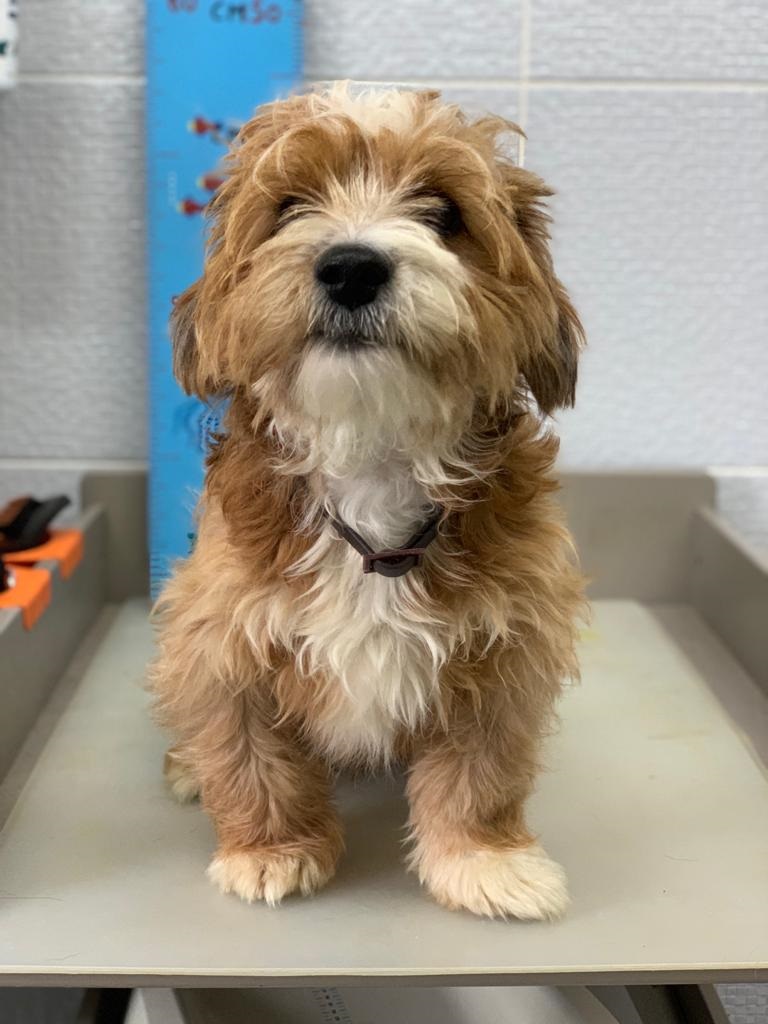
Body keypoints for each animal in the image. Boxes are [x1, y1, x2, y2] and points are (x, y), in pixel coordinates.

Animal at [149, 83, 586, 920]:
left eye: (444, 212)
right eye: (289, 206)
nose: (351, 267)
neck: (372, 455)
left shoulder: (512, 644)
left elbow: (483, 771)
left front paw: (485, 860)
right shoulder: (218, 634)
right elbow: (251, 754)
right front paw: (271, 849)